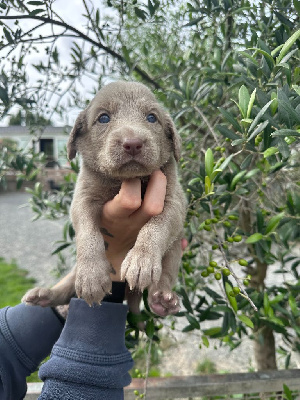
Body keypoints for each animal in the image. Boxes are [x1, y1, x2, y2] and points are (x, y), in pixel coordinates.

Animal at [23, 81, 186, 316]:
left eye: (152, 118)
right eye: (103, 118)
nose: (133, 143)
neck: (124, 181)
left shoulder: (174, 202)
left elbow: (157, 226)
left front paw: (141, 259)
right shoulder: (82, 199)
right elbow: (88, 232)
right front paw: (92, 275)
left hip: (174, 251)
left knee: (164, 276)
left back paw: (162, 300)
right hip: (74, 272)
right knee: (66, 287)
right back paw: (45, 297)